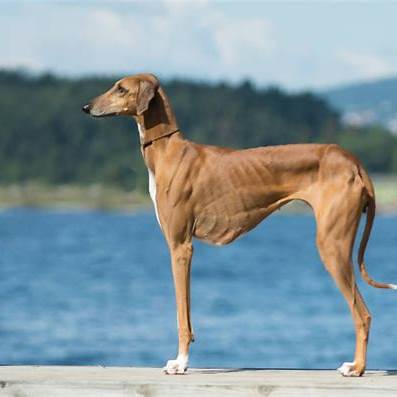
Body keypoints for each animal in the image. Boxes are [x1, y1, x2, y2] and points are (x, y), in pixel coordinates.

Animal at [82, 72, 394, 376]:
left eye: (120, 88)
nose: (86, 107)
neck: (168, 151)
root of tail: (353, 161)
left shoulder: (180, 246)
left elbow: (182, 314)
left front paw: (180, 363)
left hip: (332, 246)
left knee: (363, 314)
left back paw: (357, 368)